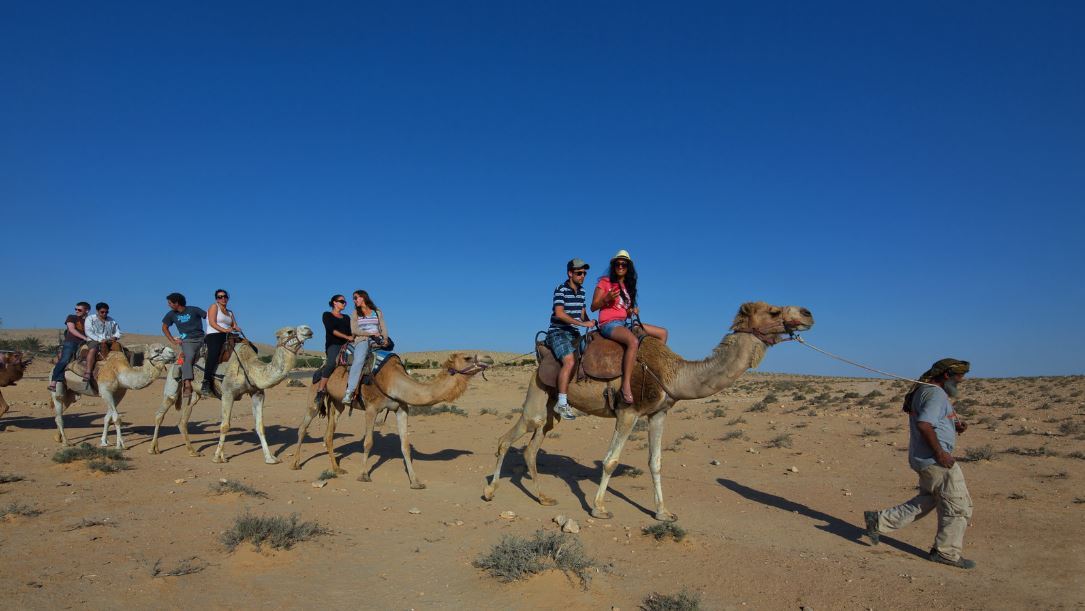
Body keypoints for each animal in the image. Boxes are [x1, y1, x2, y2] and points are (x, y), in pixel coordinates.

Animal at [147, 327, 314, 466]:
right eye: (289, 331)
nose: (308, 329)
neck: (249, 366)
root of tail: (177, 358)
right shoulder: (228, 393)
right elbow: (225, 425)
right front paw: (217, 457)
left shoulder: (257, 393)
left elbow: (260, 426)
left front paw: (270, 458)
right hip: (173, 382)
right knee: (160, 412)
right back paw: (153, 448)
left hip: (194, 393)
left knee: (183, 420)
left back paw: (193, 451)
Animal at [286, 353, 494, 488]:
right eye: (467, 357)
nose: (489, 358)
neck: (395, 382)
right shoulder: (371, 408)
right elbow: (368, 442)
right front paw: (364, 475)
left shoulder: (402, 409)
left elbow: (405, 446)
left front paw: (415, 481)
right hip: (315, 394)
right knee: (303, 427)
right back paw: (295, 464)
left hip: (337, 403)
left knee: (329, 434)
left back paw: (337, 469)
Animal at [483, 301, 815, 520]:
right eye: (774, 311)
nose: (808, 313)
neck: (673, 374)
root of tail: (541, 352)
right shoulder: (628, 411)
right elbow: (611, 460)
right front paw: (599, 508)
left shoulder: (659, 413)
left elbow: (655, 462)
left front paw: (664, 512)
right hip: (537, 394)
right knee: (508, 437)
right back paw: (489, 492)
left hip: (552, 410)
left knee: (531, 447)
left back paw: (543, 498)